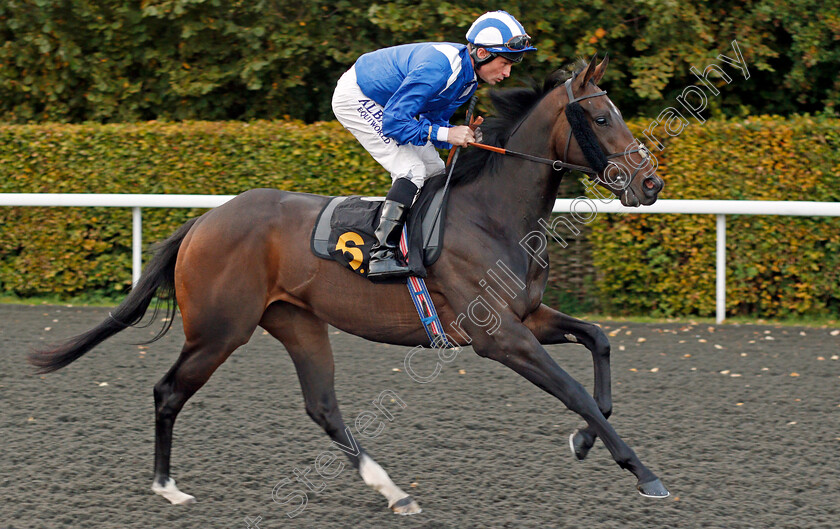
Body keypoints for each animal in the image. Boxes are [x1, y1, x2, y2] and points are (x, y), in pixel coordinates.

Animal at [27, 55, 668, 512]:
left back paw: (394, 491)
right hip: (219, 330)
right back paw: (167, 487)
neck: (491, 213)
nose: (651, 182)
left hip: (295, 321)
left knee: (322, 406)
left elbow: (598, 343)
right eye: (603, 117)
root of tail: (205, 220)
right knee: (168, 392)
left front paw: (585, 440)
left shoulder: (528, 317)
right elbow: (573, 389)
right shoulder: (498, 337)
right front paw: (644, 473)